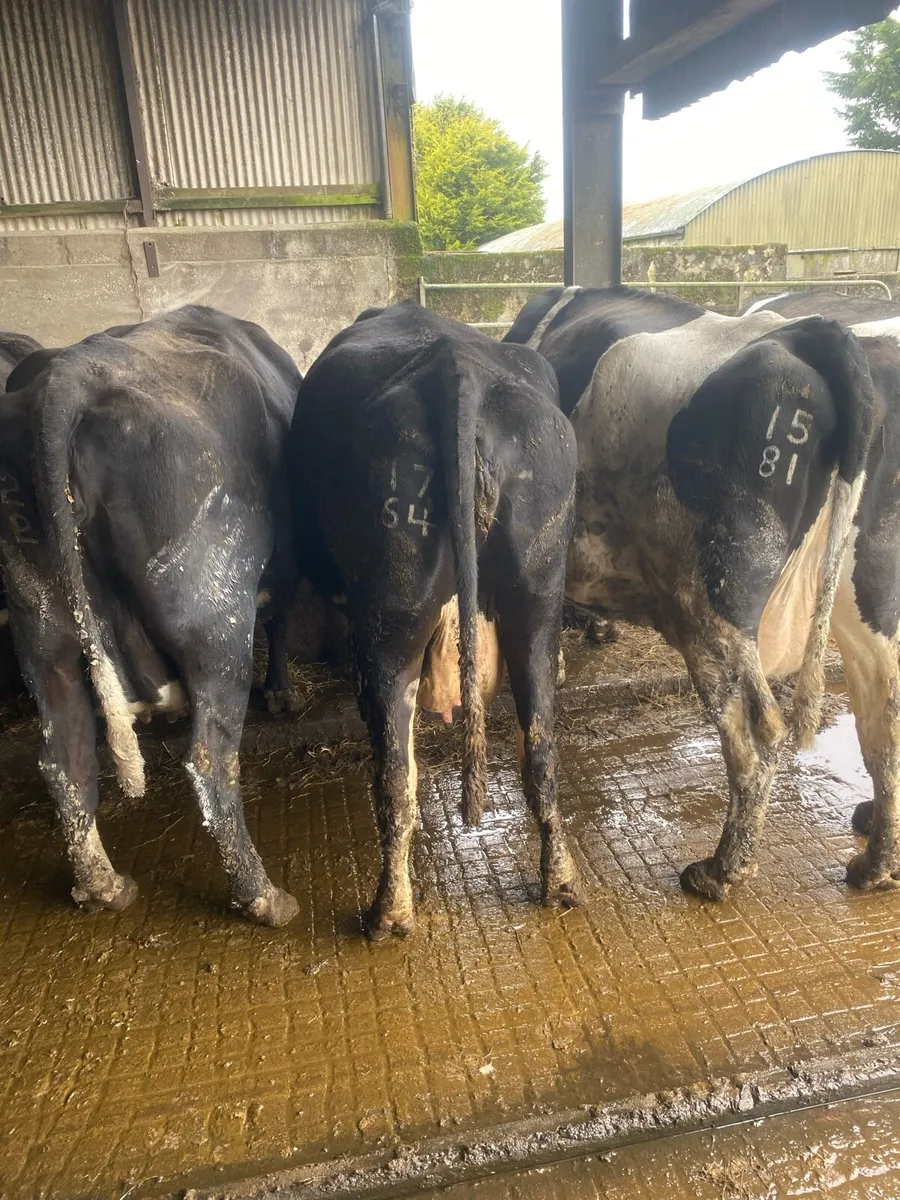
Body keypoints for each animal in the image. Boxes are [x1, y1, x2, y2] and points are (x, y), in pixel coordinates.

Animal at [0, 306, 301, 926]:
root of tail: (70, 374)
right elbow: (281, 622)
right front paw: (283, 695)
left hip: (41, 632)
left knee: (62, 760)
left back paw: (103, 886)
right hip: (215, 623)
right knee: (209, 763)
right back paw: (262, 896)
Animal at [290, 304, 581, 938]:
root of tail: (457, 368)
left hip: (390, 610)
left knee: (395, 770)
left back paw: (389, 912)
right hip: (537, 592)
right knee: (541, 748)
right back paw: (561, 882)